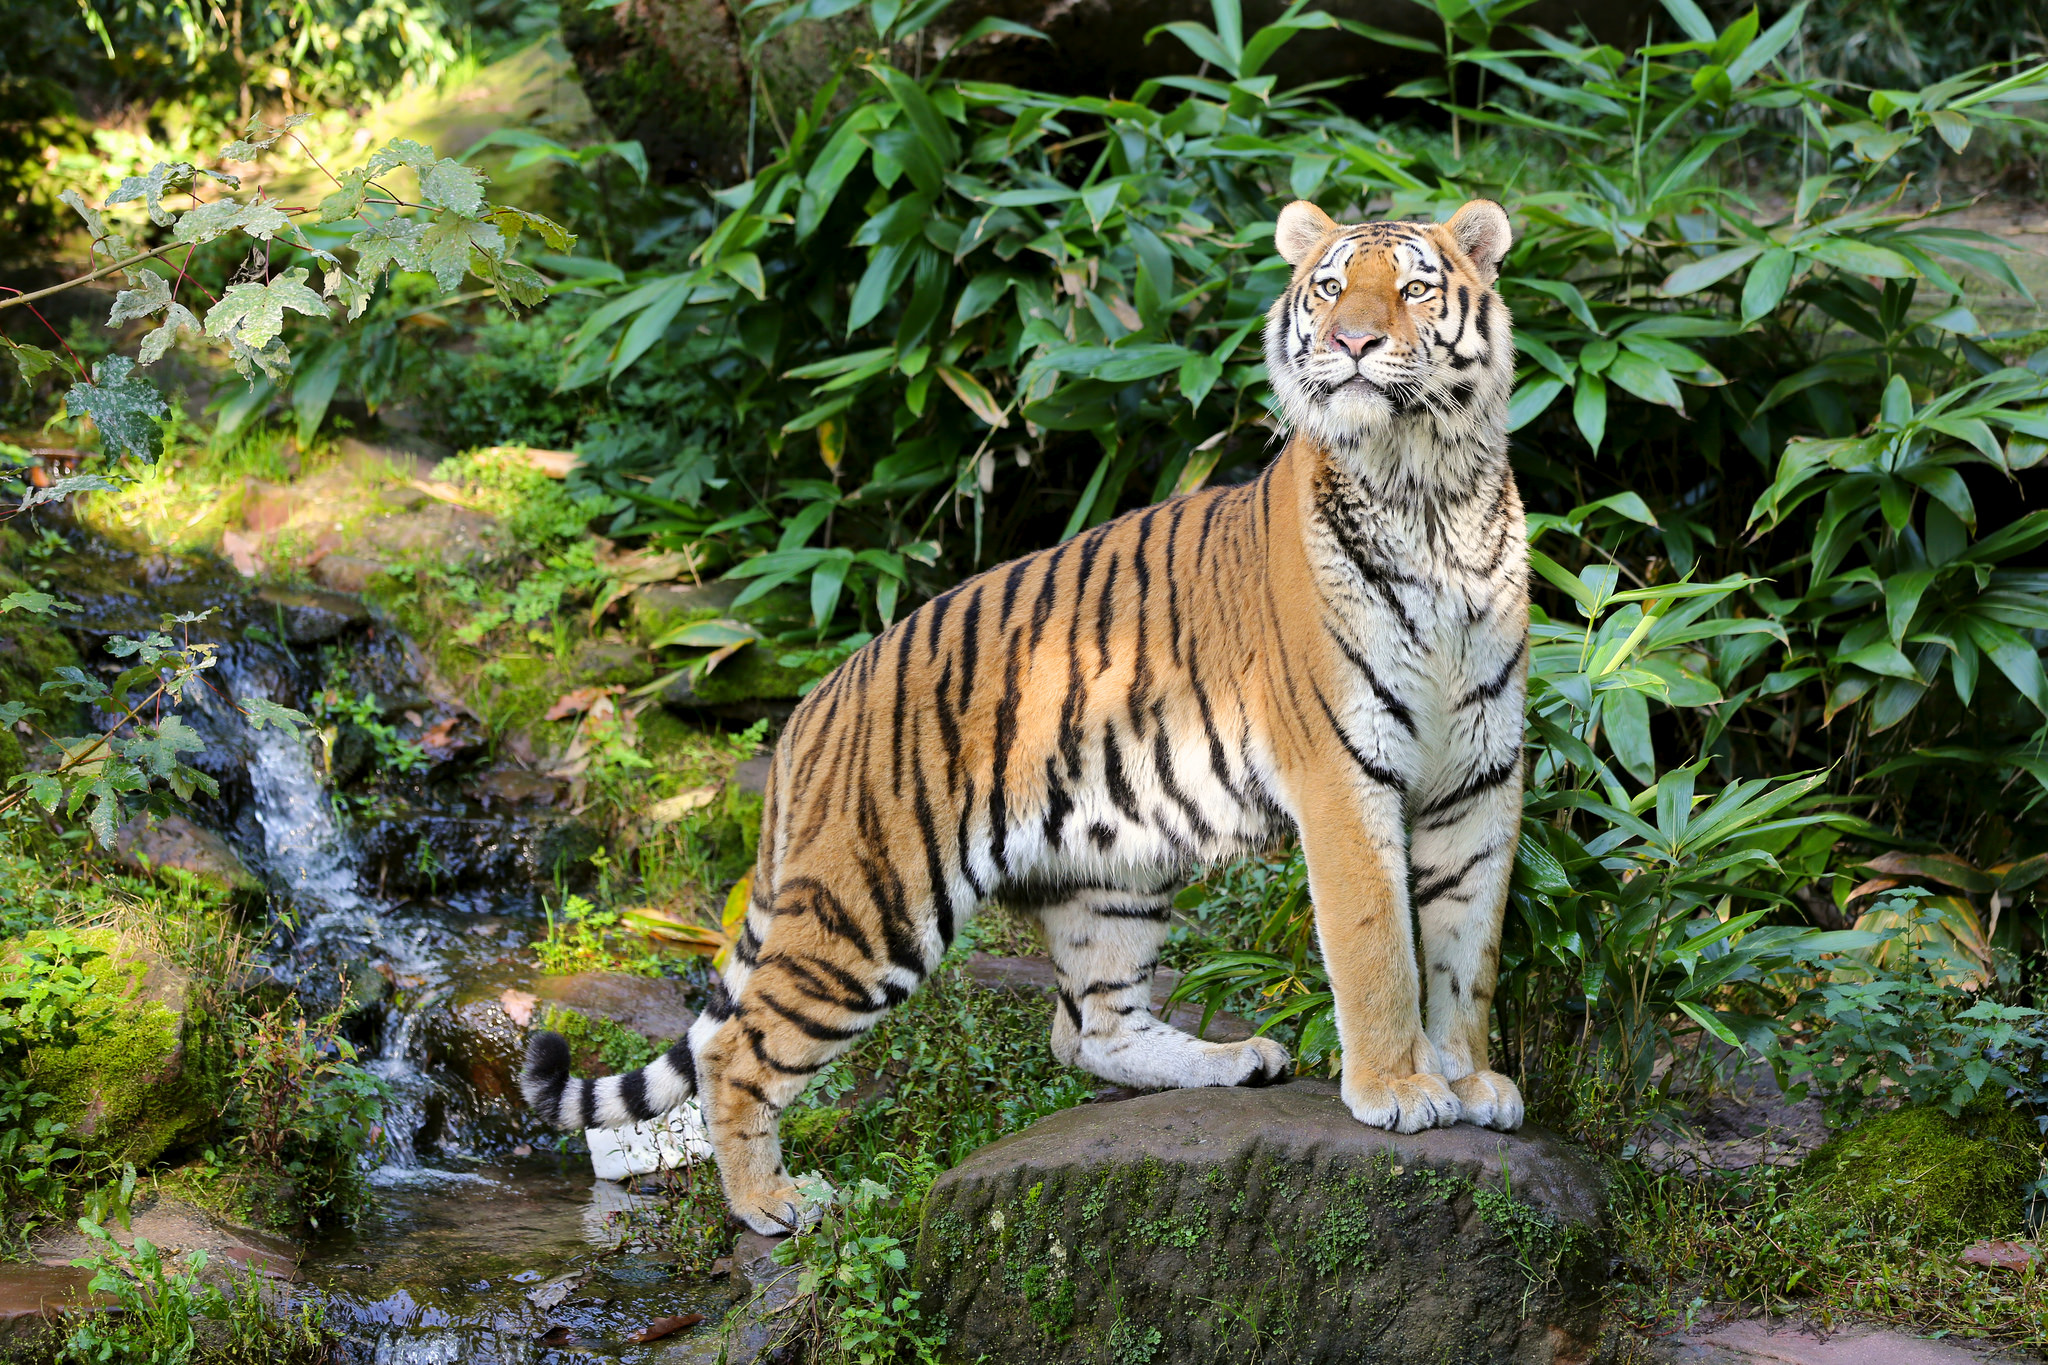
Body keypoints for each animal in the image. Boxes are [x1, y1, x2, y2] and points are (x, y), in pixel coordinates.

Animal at [520, 200, 1531, 1236]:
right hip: (873, 904)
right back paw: (774, 1201)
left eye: (1413, 289)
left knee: (1088, 1029)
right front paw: (1399, 1088)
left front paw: (1469, 1079)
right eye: (1329, 289)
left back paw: (1231, 1059)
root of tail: (812, 708)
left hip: (1114, 874)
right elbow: (1381, 947)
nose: (1351, 342)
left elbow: (1468, 945)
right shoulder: (1343, 773)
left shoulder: (1481, 776)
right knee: (741, 1046)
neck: (1428, 493)